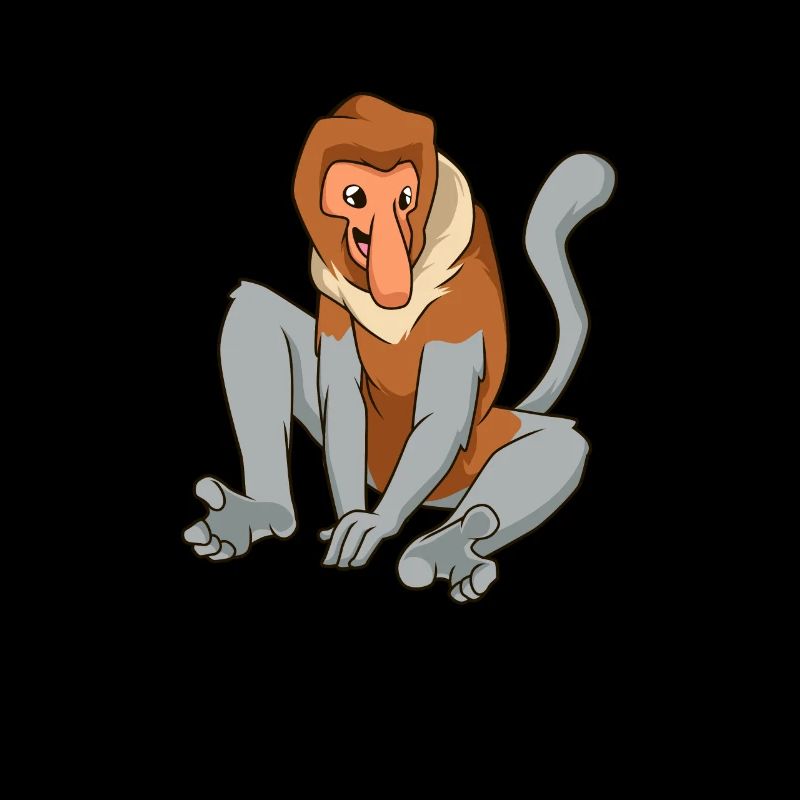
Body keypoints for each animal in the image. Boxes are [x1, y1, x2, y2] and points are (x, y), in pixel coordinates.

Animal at [182, 95, 615, 603]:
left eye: (406, 199)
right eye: (355, 197)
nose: (390, 268)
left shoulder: (463, 283)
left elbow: (444, 412)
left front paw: (376, 523)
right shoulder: (328, 284)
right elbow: (340, 390)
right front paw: (349, 519)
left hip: (469, 457)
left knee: (560, 443)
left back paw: (443, 550)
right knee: (255, 309)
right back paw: (265, 511)